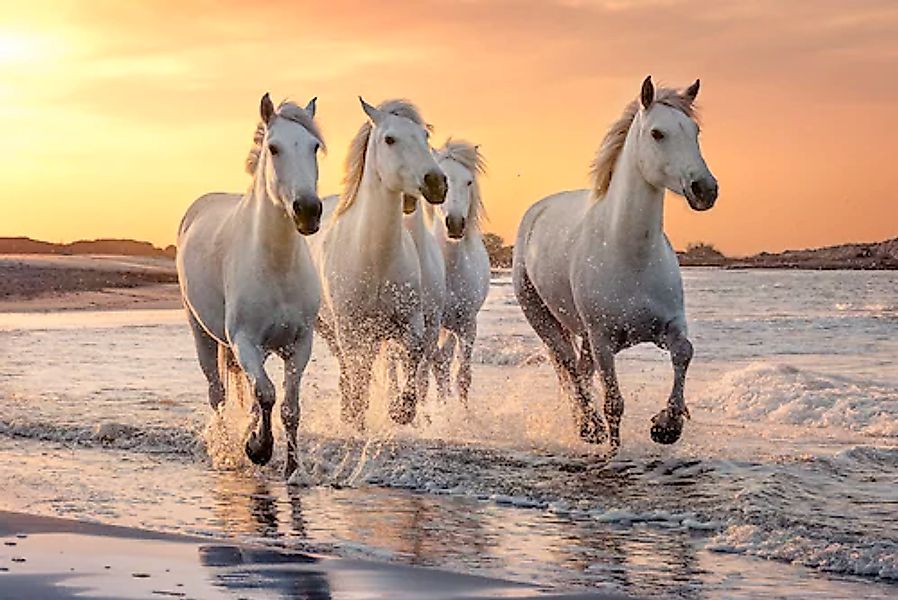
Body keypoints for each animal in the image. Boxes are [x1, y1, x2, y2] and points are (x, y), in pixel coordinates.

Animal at [177, 94, 324, 476]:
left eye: (314, 147)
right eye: (274, 148)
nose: (308, 210)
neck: (276, 266)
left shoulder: (299, 344)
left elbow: (288, 407)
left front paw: (292, 469)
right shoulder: (243, 341)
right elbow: (267, 394)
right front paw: (258, 449)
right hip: (202, 334)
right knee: (217, 394)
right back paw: (228, 449)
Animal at [316, 98, 448, 432]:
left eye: (425, 136)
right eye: (390, 139)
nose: (437, 183)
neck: (375, 259)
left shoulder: (410, 321)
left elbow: (414, 355)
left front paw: (402, 411)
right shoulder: (350, 329)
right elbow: (359, 375)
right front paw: (357, 417)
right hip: (328, 329)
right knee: (347, 369)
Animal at [516, 77, 716, 448]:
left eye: (695, 131)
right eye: (657, 133)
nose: (705, 189)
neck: (630, 255)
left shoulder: (669, 326)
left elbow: (685, 352)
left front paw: (667, 425)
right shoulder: (603, 340)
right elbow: (614, 403)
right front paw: (614, 445)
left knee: (579, 372)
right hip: (543, 319)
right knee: (569, 369)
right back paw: (588, 427)